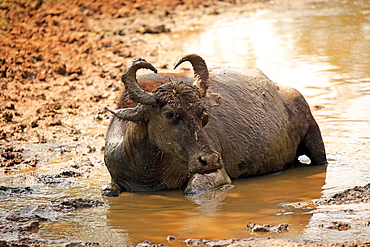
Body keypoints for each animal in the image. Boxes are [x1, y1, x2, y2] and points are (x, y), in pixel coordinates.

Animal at [102, 55, 326, 196]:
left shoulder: (216, 175)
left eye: (203, 114)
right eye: (169, 114)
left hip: (315, 142)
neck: (147, 169)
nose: (209, 160)